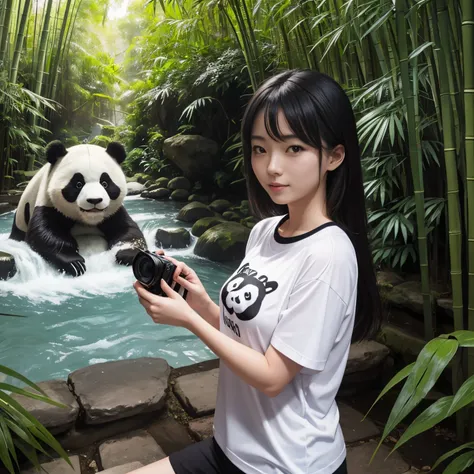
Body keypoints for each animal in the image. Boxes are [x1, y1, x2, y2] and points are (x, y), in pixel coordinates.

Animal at [9, 139, 146, 276]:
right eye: (78, 184)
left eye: (105, 183)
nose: (94, 200)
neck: (88, 220)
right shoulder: (47, 201)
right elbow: (42, 232)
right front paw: (74, 263)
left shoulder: (113, 212)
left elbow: (128, 230)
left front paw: (127, 255)